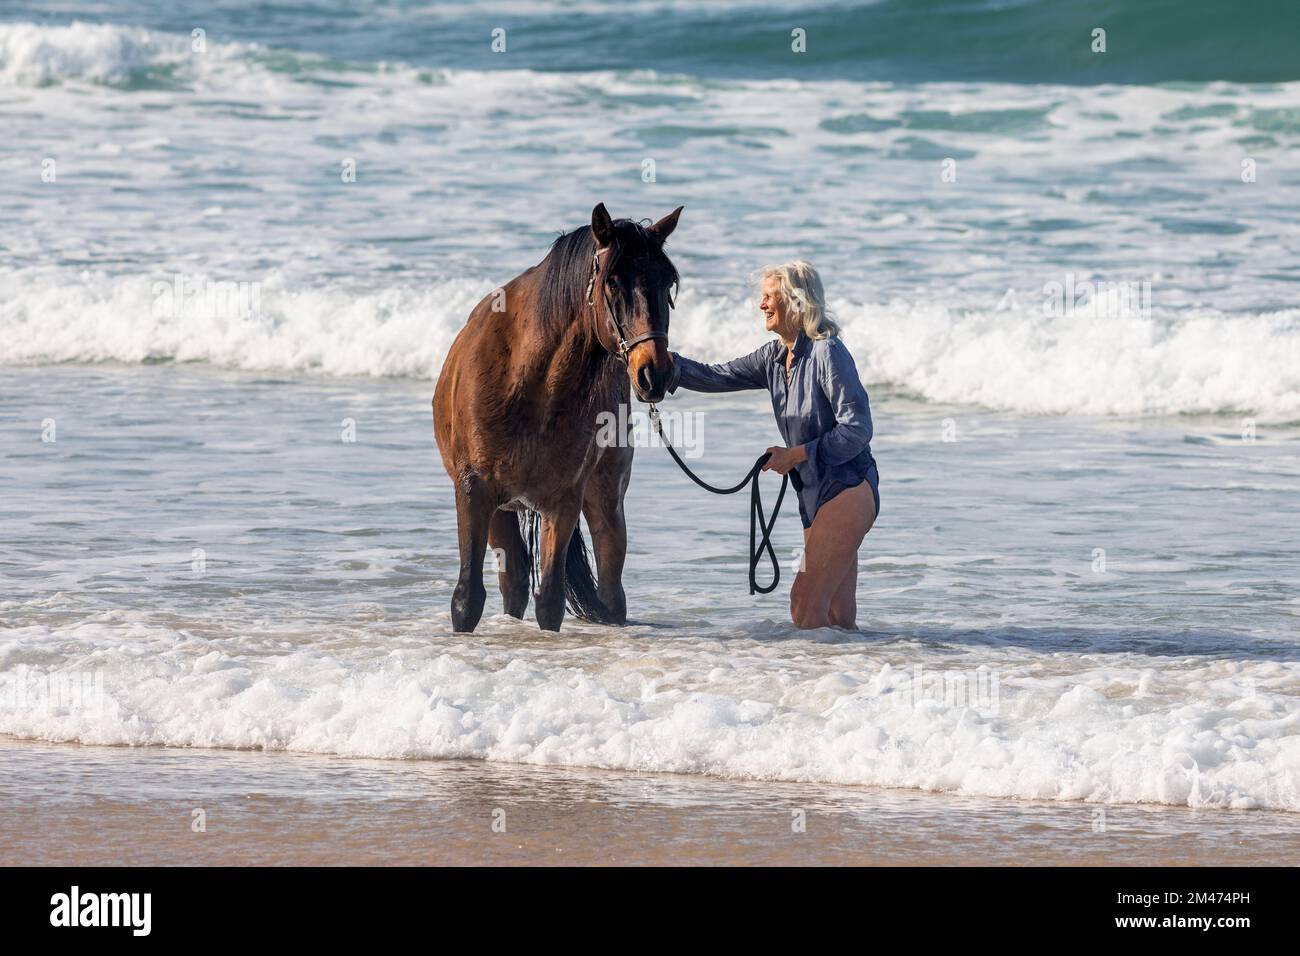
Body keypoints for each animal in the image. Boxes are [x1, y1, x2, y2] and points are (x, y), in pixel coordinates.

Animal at [434, 204, 686, 632]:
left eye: (668, 282)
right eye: (612, 283)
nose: (655, 373)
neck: (529, 383)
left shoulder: (562, 501)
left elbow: (549, 600)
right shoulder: (474, 492)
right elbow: (467, 600)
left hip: (605, 499)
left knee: (611, 592)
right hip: (502, 512)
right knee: (514, 583)